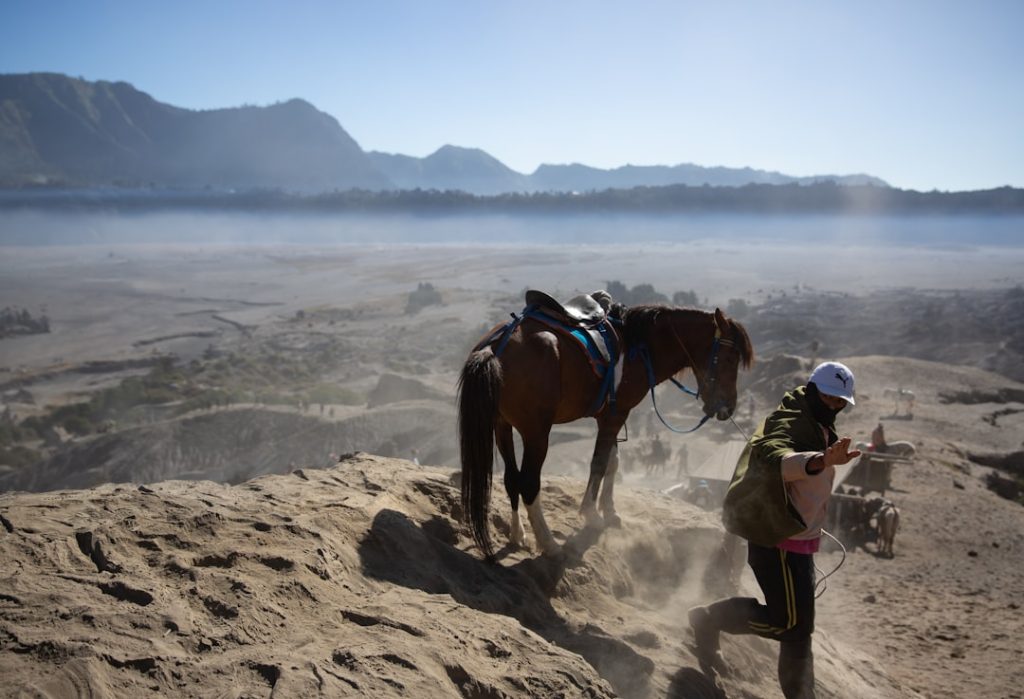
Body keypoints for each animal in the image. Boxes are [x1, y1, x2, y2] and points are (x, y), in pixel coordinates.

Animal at [457, 303, 754, 560]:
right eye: (730, 358)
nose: (727, 407)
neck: (639, 347)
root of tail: (496, 347)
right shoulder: (615, 415)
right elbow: (599, 463)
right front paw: (592, 514)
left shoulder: (611, 415)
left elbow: (613, 462)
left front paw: (609, 511)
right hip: (536, 433)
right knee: (528, 483)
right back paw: (550, 544)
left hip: (501, 425)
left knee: (511, 478)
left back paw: (518, 534)